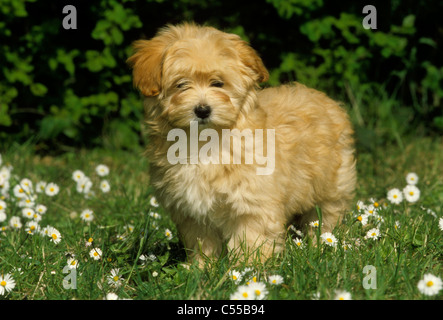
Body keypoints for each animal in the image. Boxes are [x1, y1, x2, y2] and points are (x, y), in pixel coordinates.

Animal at [127, 23, 358, 264]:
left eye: (218, 83)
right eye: (181, 85)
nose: (202, 110)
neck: (204, 142)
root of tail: (327, 101)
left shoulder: (252, 203)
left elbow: (251, 240)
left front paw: (247, 268)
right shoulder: (193, 212)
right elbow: (202, 241)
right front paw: (202, 268)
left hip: (332, 184)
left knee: (327, 214)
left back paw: (321, 245)